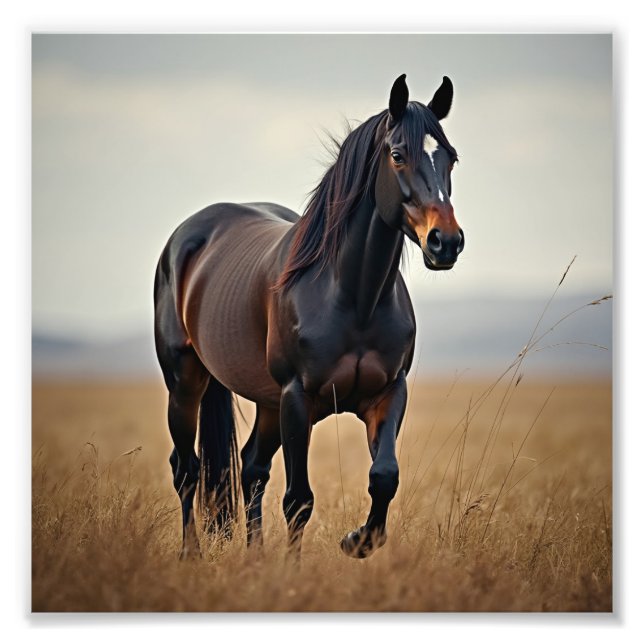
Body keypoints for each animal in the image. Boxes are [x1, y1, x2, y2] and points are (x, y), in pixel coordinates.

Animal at [154, 74, 463, 560]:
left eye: (450, 157)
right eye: (397, 154)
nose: (445, 242)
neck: (354, 297)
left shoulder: (388, 394)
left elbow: (384, 477)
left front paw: (357, 540)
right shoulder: (298, 399)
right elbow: (298, 500)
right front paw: (294, 569)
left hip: (266, 401)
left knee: (251, 467)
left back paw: (254, 557)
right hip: (186, 382)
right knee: (187, 468)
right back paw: (192, 555)